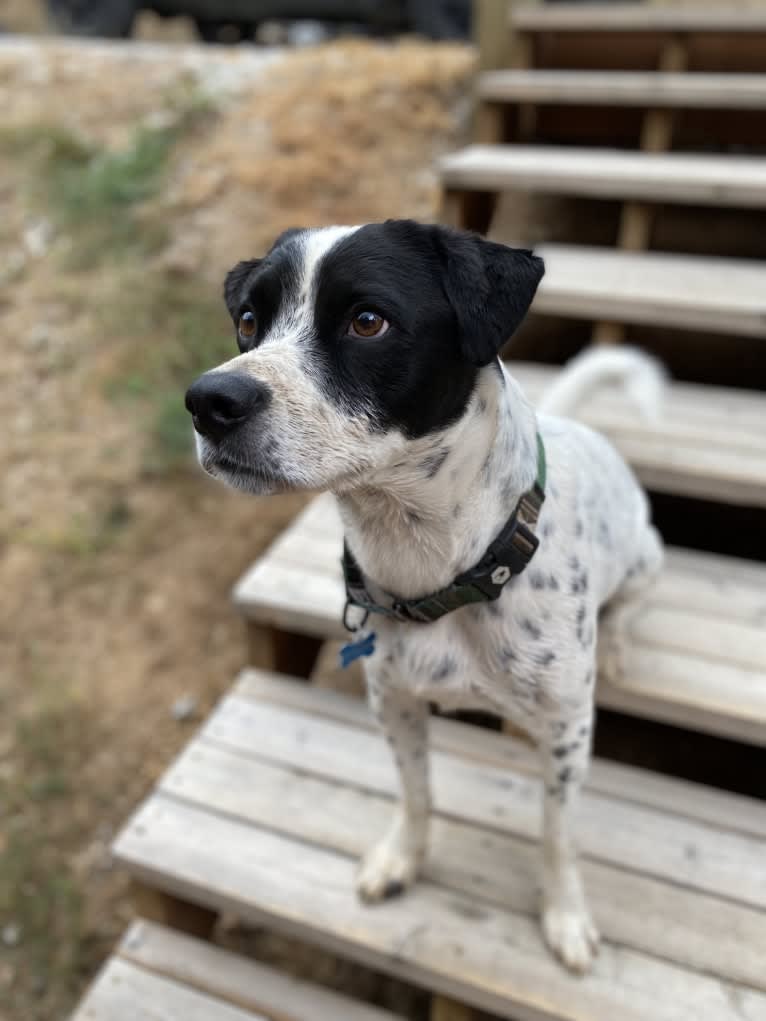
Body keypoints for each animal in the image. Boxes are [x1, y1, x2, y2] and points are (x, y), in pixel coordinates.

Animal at [184, 221, 665, 971]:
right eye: (249, 321)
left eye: (368, 320)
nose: (209, 401)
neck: (438, 572)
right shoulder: (396, 704)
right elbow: (416, 793)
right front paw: (400, 859)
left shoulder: (567, 733)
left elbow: (557, 835)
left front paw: (565, 916)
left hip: (647, 557)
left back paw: (617, 644)